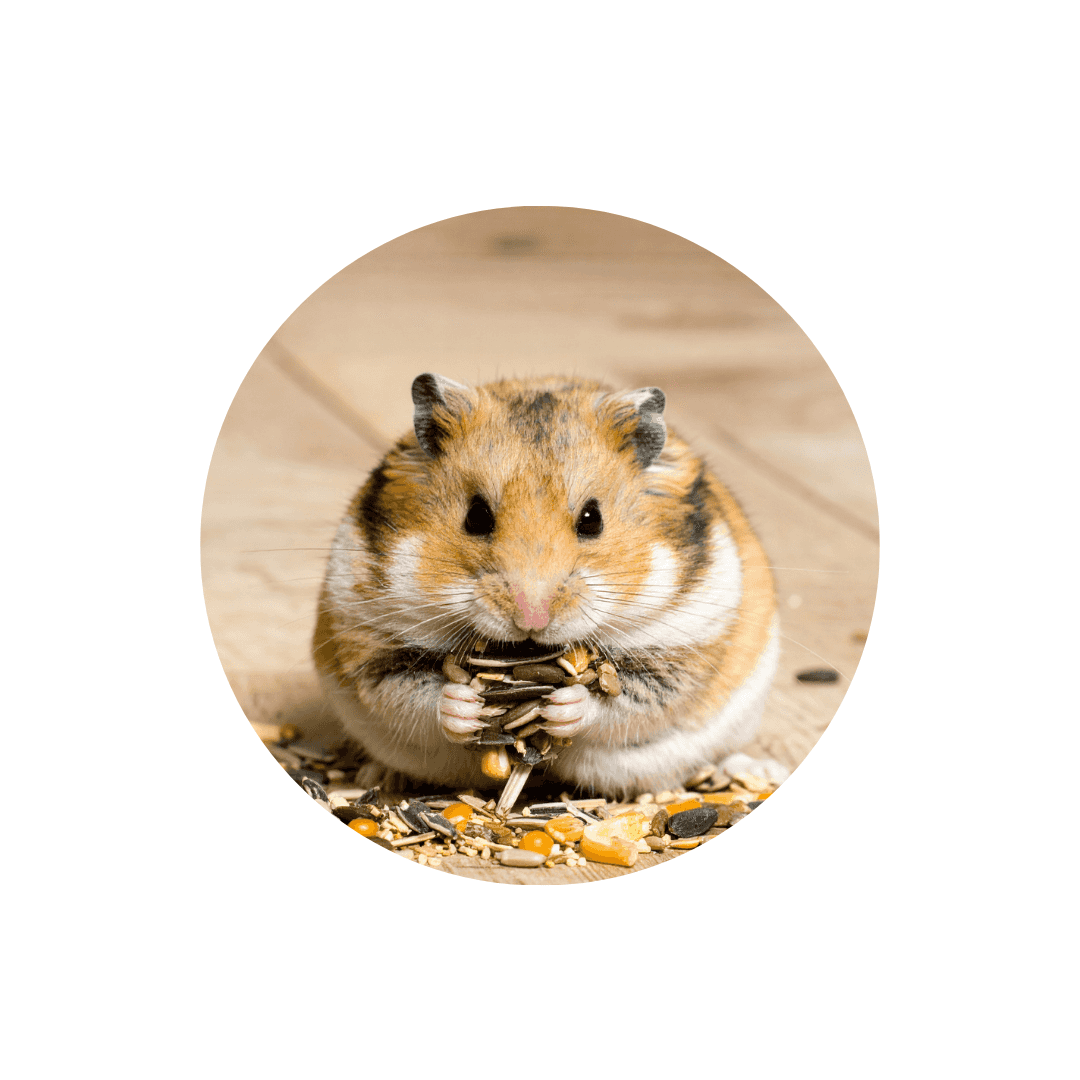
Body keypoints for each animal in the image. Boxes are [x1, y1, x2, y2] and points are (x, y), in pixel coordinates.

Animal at [312, 373, 784, 799]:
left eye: (592, 519)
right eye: (476, 517)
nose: (531, 617)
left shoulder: (682, 652)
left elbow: (621, 702)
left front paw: (562, 706)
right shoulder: (371, 642)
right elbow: (414, 695)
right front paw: (465, 704)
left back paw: (756, 770)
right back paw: (375, 776)